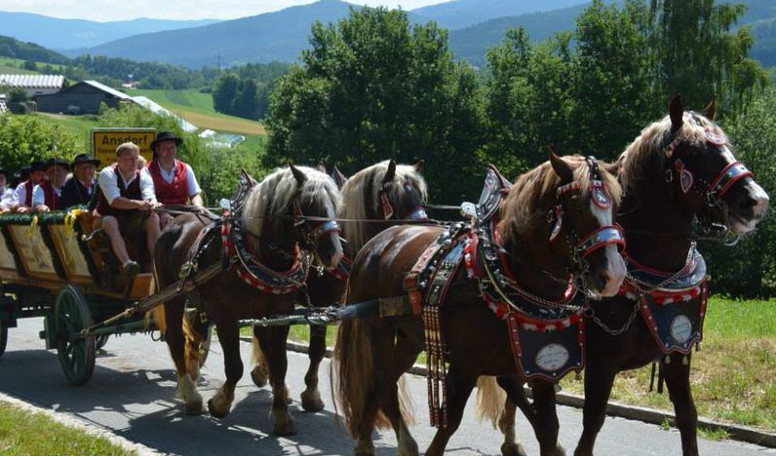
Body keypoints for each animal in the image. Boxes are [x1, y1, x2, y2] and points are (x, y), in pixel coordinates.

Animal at [153, 165, 344, 434]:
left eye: (335, 204)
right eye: (310, 203)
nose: (334, 254)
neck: (257, 254)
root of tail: (174, 221)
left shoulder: (280, 316)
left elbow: (280, 363)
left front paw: (281, 415)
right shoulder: (226, 317)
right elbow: (234, 366)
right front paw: (220, 403)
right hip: (173, 295)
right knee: (176, 339)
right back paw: (191, 395)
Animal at [250, 159, 430, 414]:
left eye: (421, 196)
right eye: (396, 197)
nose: (423, 232)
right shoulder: (320, 306)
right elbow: (316, 349)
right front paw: (312, 394)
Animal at [334, 154, 632, 456]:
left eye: (616, 207)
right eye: (577, 206)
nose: (614, 275)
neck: (507, 275)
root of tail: (378, 242)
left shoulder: (541, 370)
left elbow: (548, 428)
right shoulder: (464, 367)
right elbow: (449, 424)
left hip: (410, 339)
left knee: (383, 381)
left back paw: (366, 439)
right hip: (377, 328)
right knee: (382, 382)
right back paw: (397, 442)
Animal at [484, 95, 768, 456]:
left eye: (726, 145)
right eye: (693, 151)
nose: (756, 200)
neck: (651, 273)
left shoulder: (678, 352)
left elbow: (687, 415)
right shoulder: (602, 364)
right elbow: (592, 423)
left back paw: (513, 438)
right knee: (511, 382)